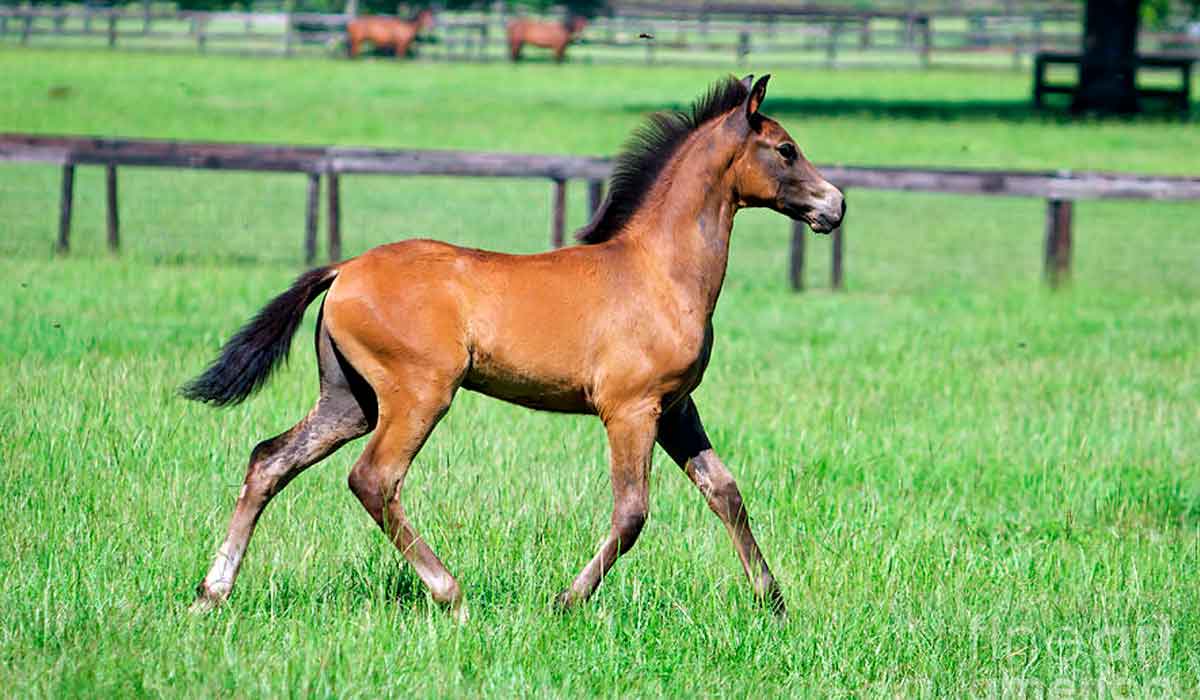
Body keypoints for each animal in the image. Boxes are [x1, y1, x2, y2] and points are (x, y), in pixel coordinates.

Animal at [184, 73, 844, 619]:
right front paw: (566, 601)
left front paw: (775, 604)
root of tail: (344, 269)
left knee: (270, 459)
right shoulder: (630, 410)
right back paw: (452, 595)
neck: (658, 271)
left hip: (350, 399)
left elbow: (725, 492)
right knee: (373, 479)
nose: (835, 204)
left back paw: (211, 593)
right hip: (418, 394)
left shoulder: (676, 407)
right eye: (786, 149)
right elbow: (632, 512)